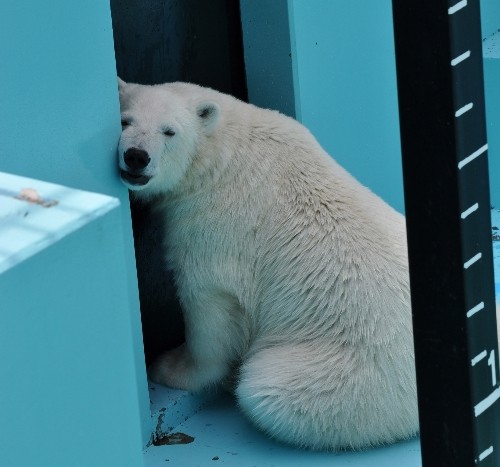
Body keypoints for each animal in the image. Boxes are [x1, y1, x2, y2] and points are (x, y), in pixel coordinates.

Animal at [117, 78, 418, 452]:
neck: (224, 151)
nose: (136, 156)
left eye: (169, 131)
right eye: (124, 121)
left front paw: (170, 367)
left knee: (266, 390)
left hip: (347, 376)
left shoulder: (214, 225)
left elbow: (208, 306)